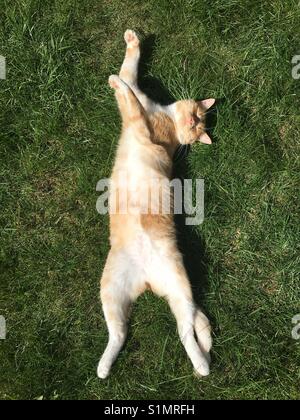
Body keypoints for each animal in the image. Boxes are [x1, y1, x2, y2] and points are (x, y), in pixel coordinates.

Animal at [97, 27, 214, 378]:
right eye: (197, 116)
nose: (193, 125)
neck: (165, 117)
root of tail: (146, 281)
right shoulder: (140, 98)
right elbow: (129, 72)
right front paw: (132, 42)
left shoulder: (139, 124)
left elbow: (129, 96)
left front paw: (114, 82)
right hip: (111, 291)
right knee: (119, 332)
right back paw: (103, 366)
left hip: (179, 283)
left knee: (186, 329)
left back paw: (202, 365)